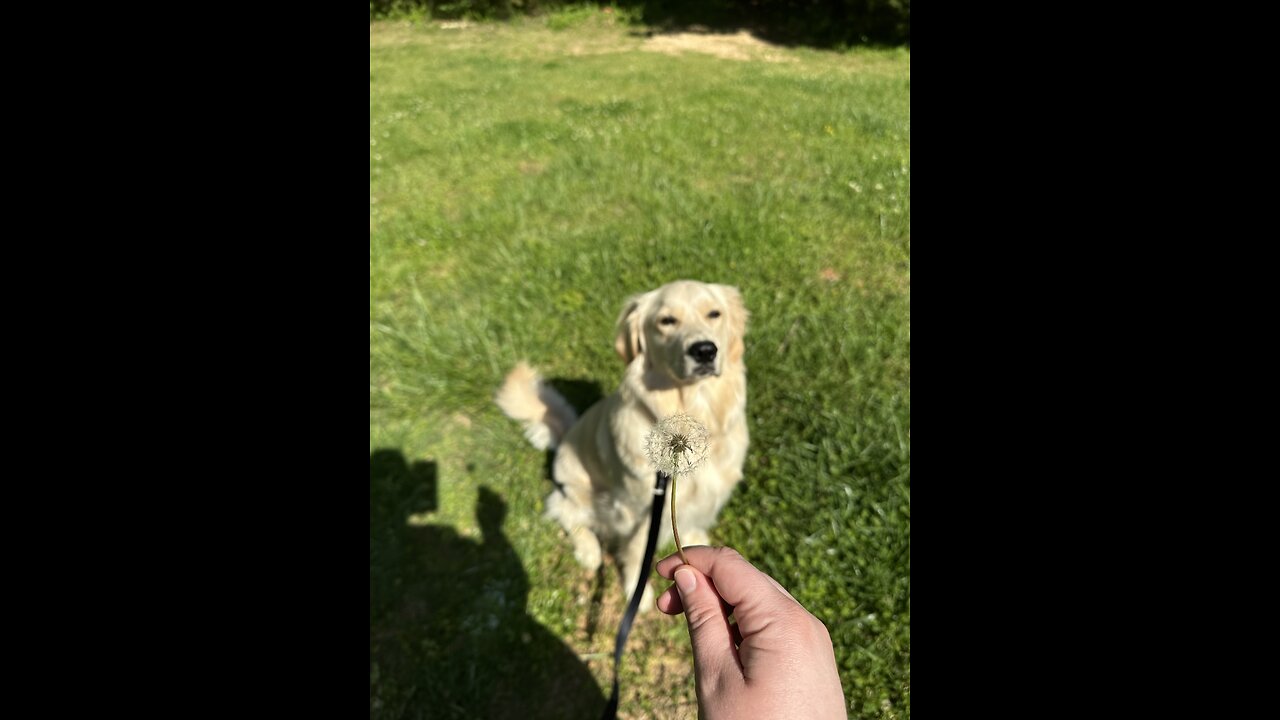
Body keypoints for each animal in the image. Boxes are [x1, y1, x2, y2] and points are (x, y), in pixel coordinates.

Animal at [494, 279, 747, 604]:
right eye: (666, 321)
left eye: (714, 313)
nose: (704, 350)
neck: (695, 405)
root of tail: (566, 433)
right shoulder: (639, 511)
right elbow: (637, 553)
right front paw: (636, 592)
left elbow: (694, 521)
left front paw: (697, 543)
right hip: (585, 494)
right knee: (564, 511)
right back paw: (589, 551)